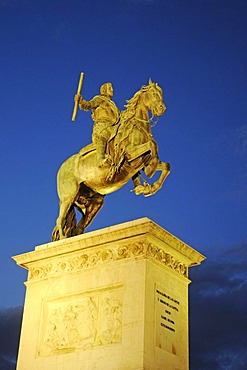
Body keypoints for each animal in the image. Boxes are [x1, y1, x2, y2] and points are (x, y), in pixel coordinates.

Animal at [51, 80, 172, 240]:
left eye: (161, 93)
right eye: (153, 93)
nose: (161, 108)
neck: (137, 126)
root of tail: (62, 168)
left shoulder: (141, 162)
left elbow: (166, 166)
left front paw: (148, 187)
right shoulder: (129, 155)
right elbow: (153, 145)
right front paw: (150, 173)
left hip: (93, 203)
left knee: (78, 227)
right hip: (69, 196)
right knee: (60, 219)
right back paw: (64, 238)